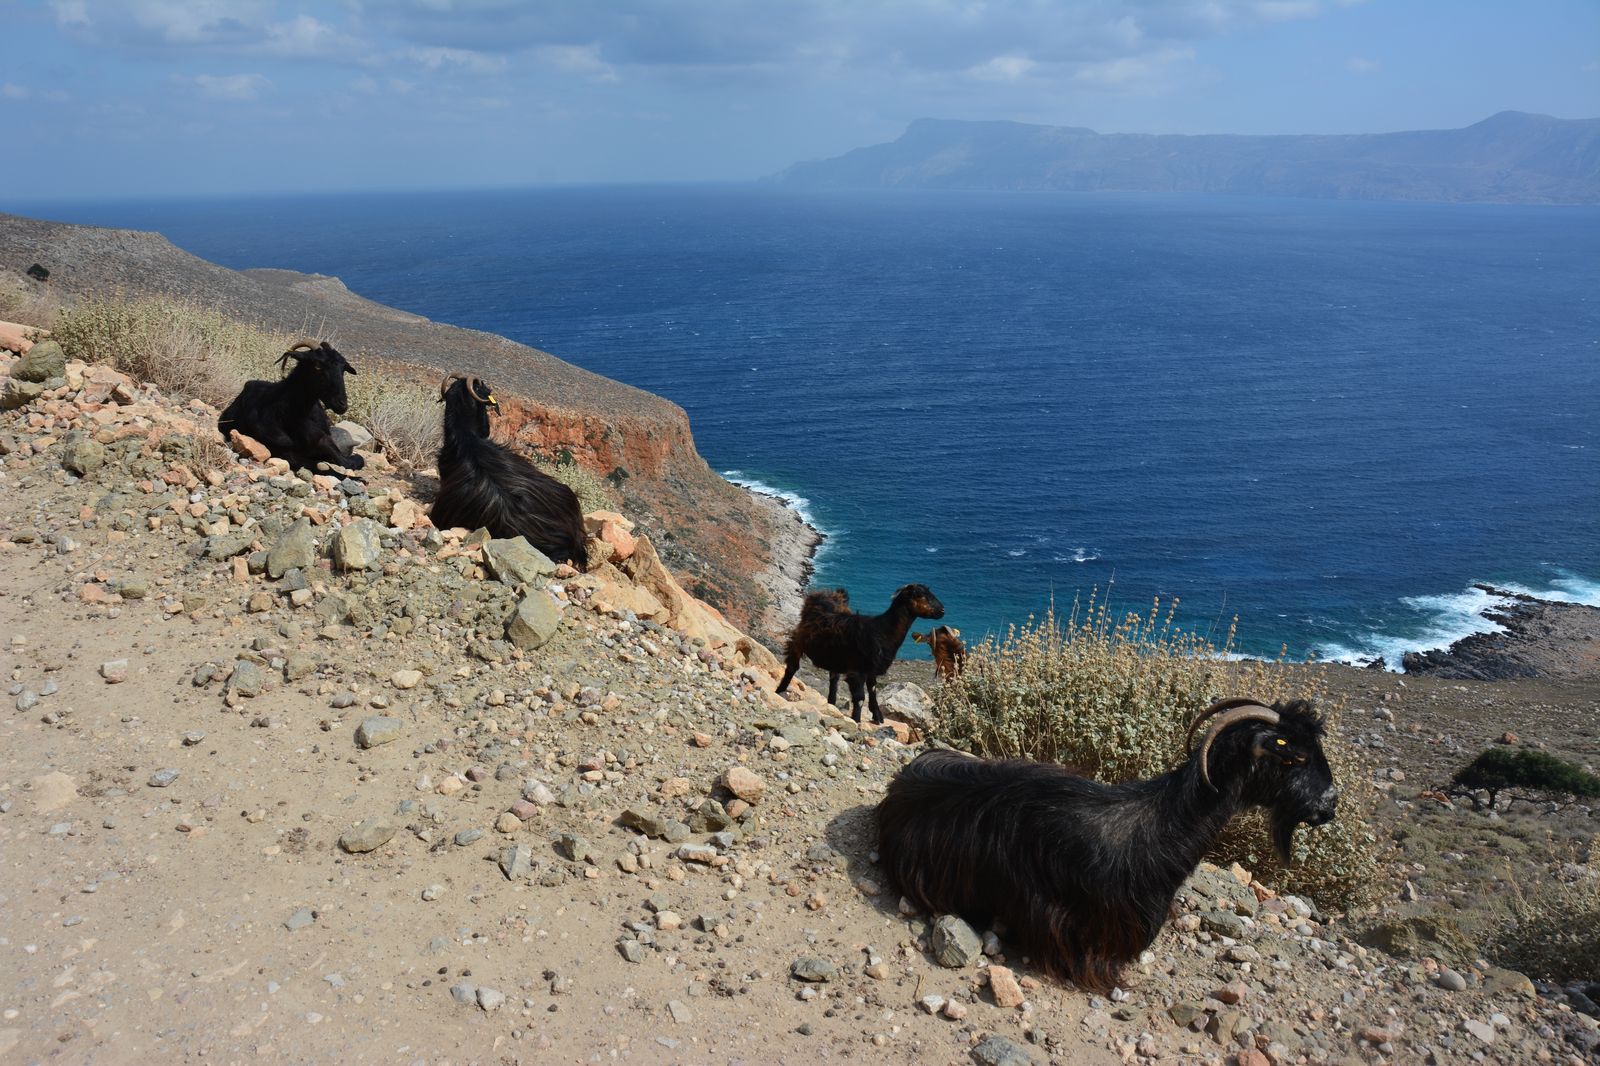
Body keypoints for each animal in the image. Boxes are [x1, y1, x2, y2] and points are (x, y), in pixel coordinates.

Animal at [219, 337, 363, 470]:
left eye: (343, 369)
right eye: (317, 366)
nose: (341, 404)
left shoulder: (325, 440)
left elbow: (354, 461)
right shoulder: (284, 452)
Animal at [771, 582, 934, 723]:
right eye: (922, 596)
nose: (940, 611)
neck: (882, 630)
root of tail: (823, 595)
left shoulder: (871, 669)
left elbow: (872, 690)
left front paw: (877, 717)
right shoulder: (858, 670)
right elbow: (860, 697)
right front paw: (856, 720)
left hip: (835, 658)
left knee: (834, 679)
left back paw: (831, 704)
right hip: (797, 642)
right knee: (792, 667)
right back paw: (780, 691)